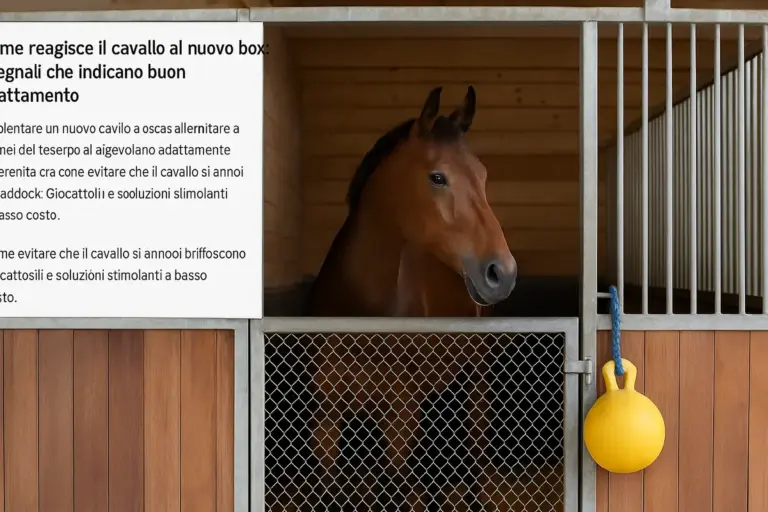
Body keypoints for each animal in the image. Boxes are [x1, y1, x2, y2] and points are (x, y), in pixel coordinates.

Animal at [305, 85, 518, 508]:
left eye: (483, 176)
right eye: (437, 177)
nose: (502, 273)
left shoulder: (401, 415)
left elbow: (394, 486)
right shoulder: (327, 416)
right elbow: (330, 485)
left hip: (475, 383)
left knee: (473, 451)